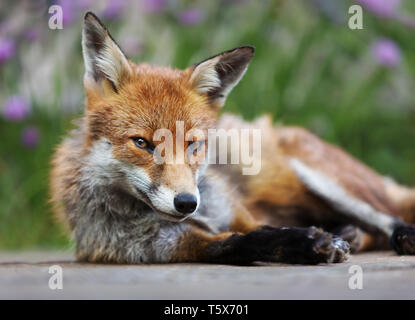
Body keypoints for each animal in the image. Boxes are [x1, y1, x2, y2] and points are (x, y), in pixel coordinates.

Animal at [49, 11, 415, 264]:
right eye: (142, 143)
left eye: (193, 144)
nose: (187, 203)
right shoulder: (169, 245)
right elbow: (237, 243)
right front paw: (308, 244)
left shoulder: (238, 214)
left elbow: (262, 229)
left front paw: (311, 240)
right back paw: (346, 232)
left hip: (323, 178)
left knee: (387, 217)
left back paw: (399, 236)